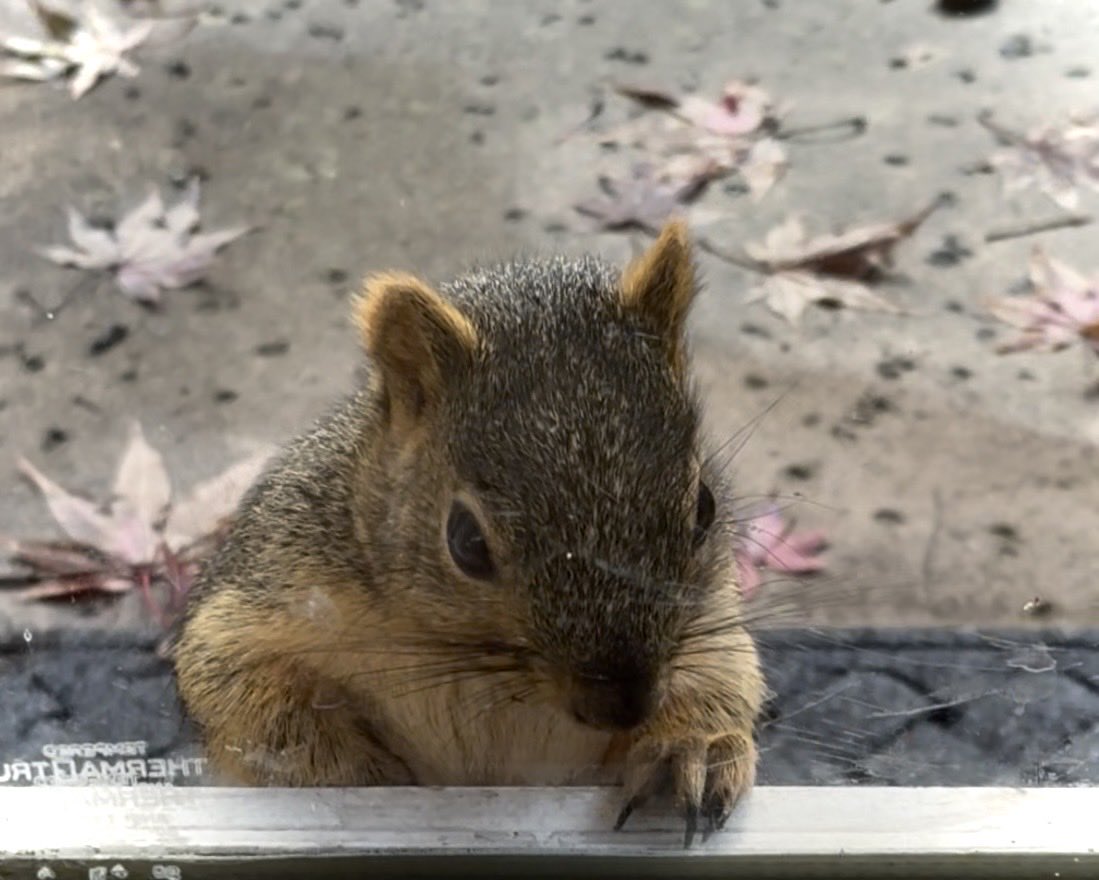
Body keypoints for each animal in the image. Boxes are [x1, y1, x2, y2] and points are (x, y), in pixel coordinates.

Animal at [171, 220, 764, 845]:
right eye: (467, 543)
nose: (622, 704)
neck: (472, 658)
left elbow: (723, 675)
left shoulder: (712, 613)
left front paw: (691, 746)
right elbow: (246, 695)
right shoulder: (265, 592)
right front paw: (357, 774)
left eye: (705, 507)